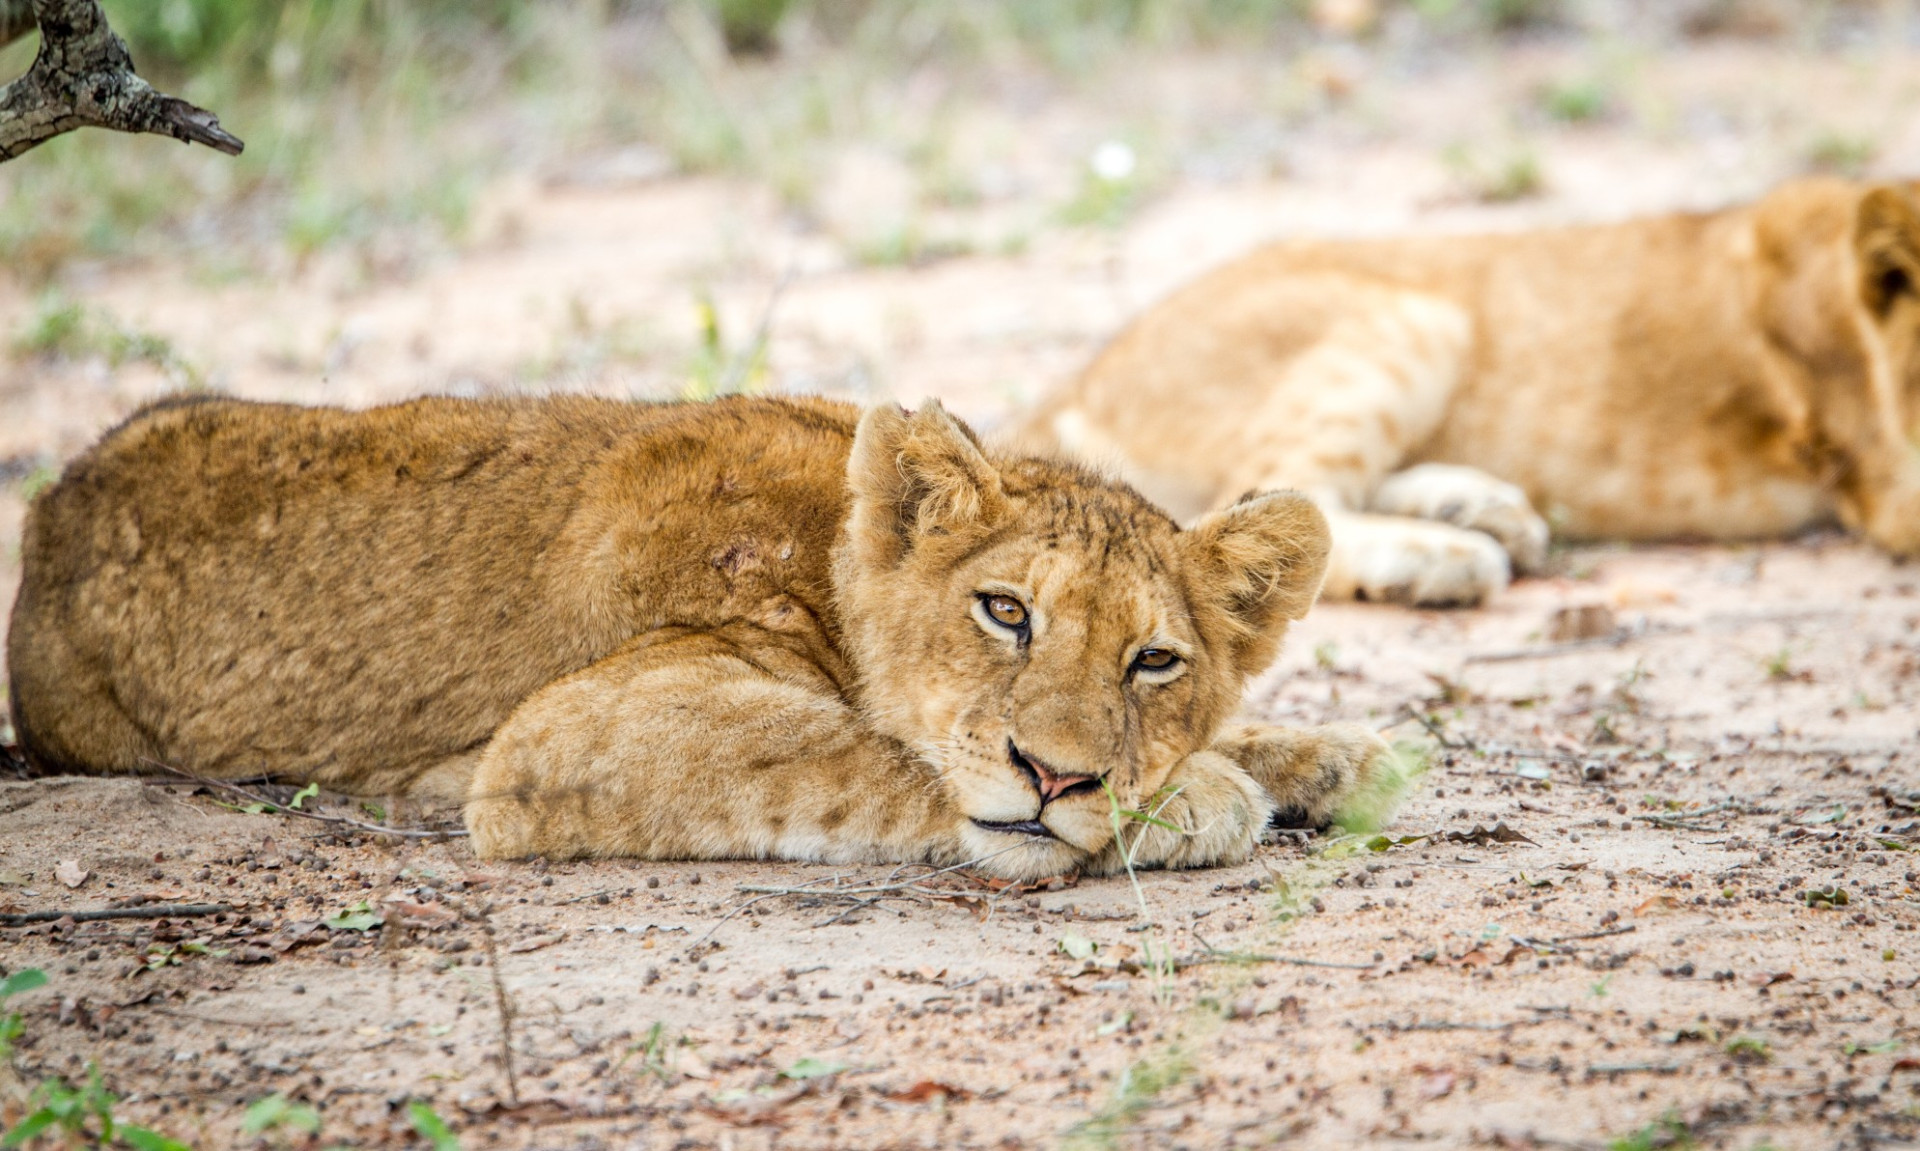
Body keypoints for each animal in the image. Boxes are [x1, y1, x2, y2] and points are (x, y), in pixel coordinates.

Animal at [5, 393, 1404, 881]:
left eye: (1153, 660)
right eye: (1005, 610)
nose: (1058, 776)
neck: (827, 544)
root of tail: (53, 504)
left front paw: (1323, 756)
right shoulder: (570, 732)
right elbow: (874, 756)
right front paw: (1205, 795)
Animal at [1020, 177, 1920, 606]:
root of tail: (1079, 377)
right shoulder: (1886, 485)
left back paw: (1481, 508)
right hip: (1411, 316)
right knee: (1263, 508)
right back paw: (1445, 556)